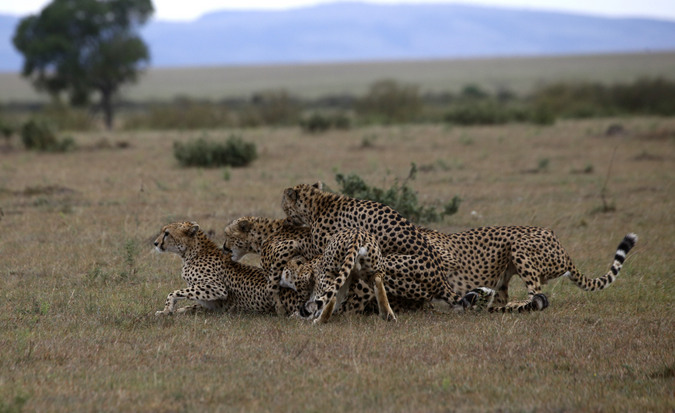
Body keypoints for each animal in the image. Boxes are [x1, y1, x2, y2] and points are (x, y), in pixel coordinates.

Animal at [153, 222, 306, 316]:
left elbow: (173, 293)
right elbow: (190, 306)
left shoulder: (217, 288)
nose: (155, 243)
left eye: (166, 233)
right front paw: (170, 311)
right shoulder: (212, 305)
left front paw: (166, 310)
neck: (192, 252)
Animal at [418, 225, 640, 312]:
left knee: (536, 294)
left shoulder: (449, 258)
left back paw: (521, 304)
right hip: (503, 276)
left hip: (520, 247)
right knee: (501, 299)